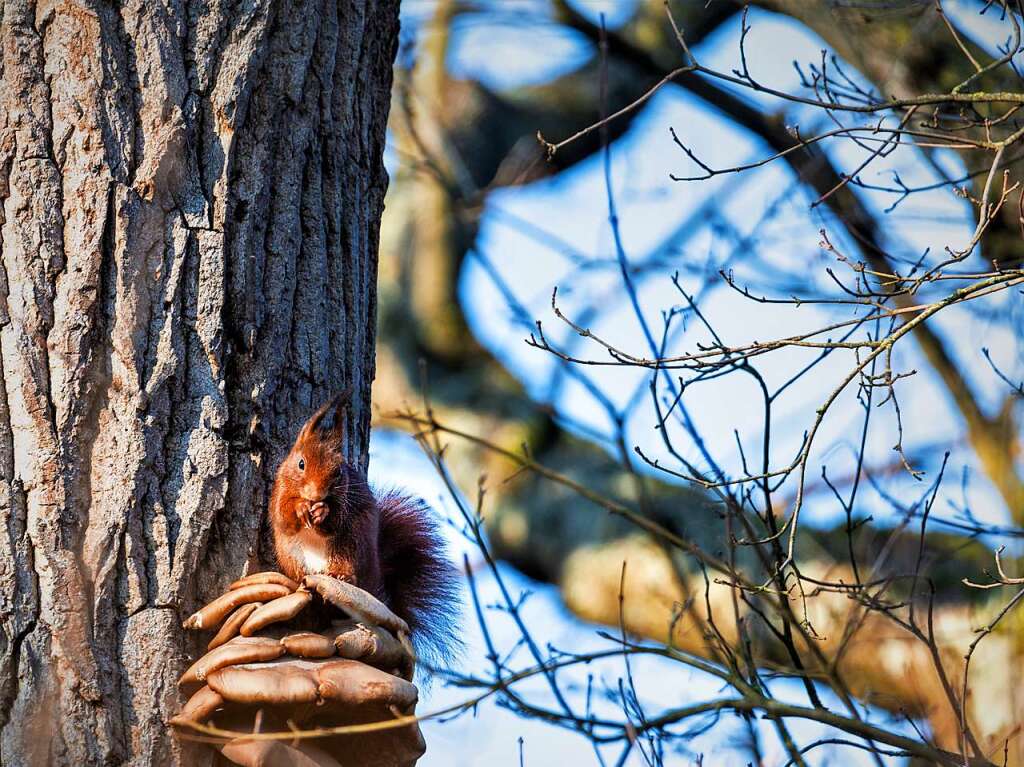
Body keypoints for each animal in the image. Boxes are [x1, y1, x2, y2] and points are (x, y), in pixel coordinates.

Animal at [270, 395, 458, 663]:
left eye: (338, 472)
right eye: (301, 464)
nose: (317, 495)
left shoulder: (345, 499)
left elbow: (334, 523)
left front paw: (322, 512)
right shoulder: (279, 491)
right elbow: (284, 517)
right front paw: (302, 509)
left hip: (351, 546)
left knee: (349, 571)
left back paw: (340, 576)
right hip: (292, 556)